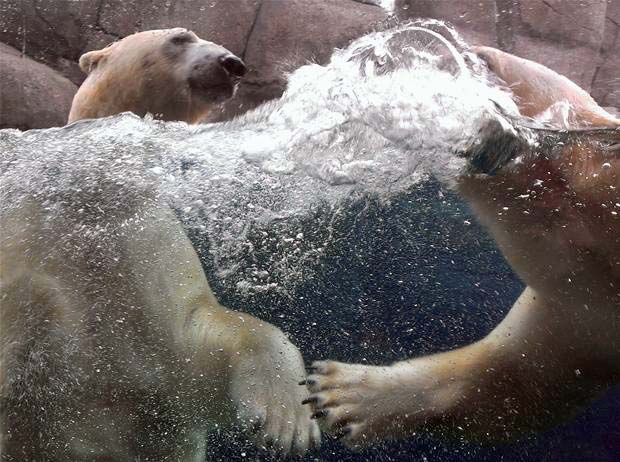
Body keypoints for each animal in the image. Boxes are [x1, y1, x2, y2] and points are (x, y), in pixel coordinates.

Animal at [0, 29, 320, 462]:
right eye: (180, 37)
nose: (233, 64)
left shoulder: (148, 251)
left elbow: (198, 343)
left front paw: (287, 419)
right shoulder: (30, 234)